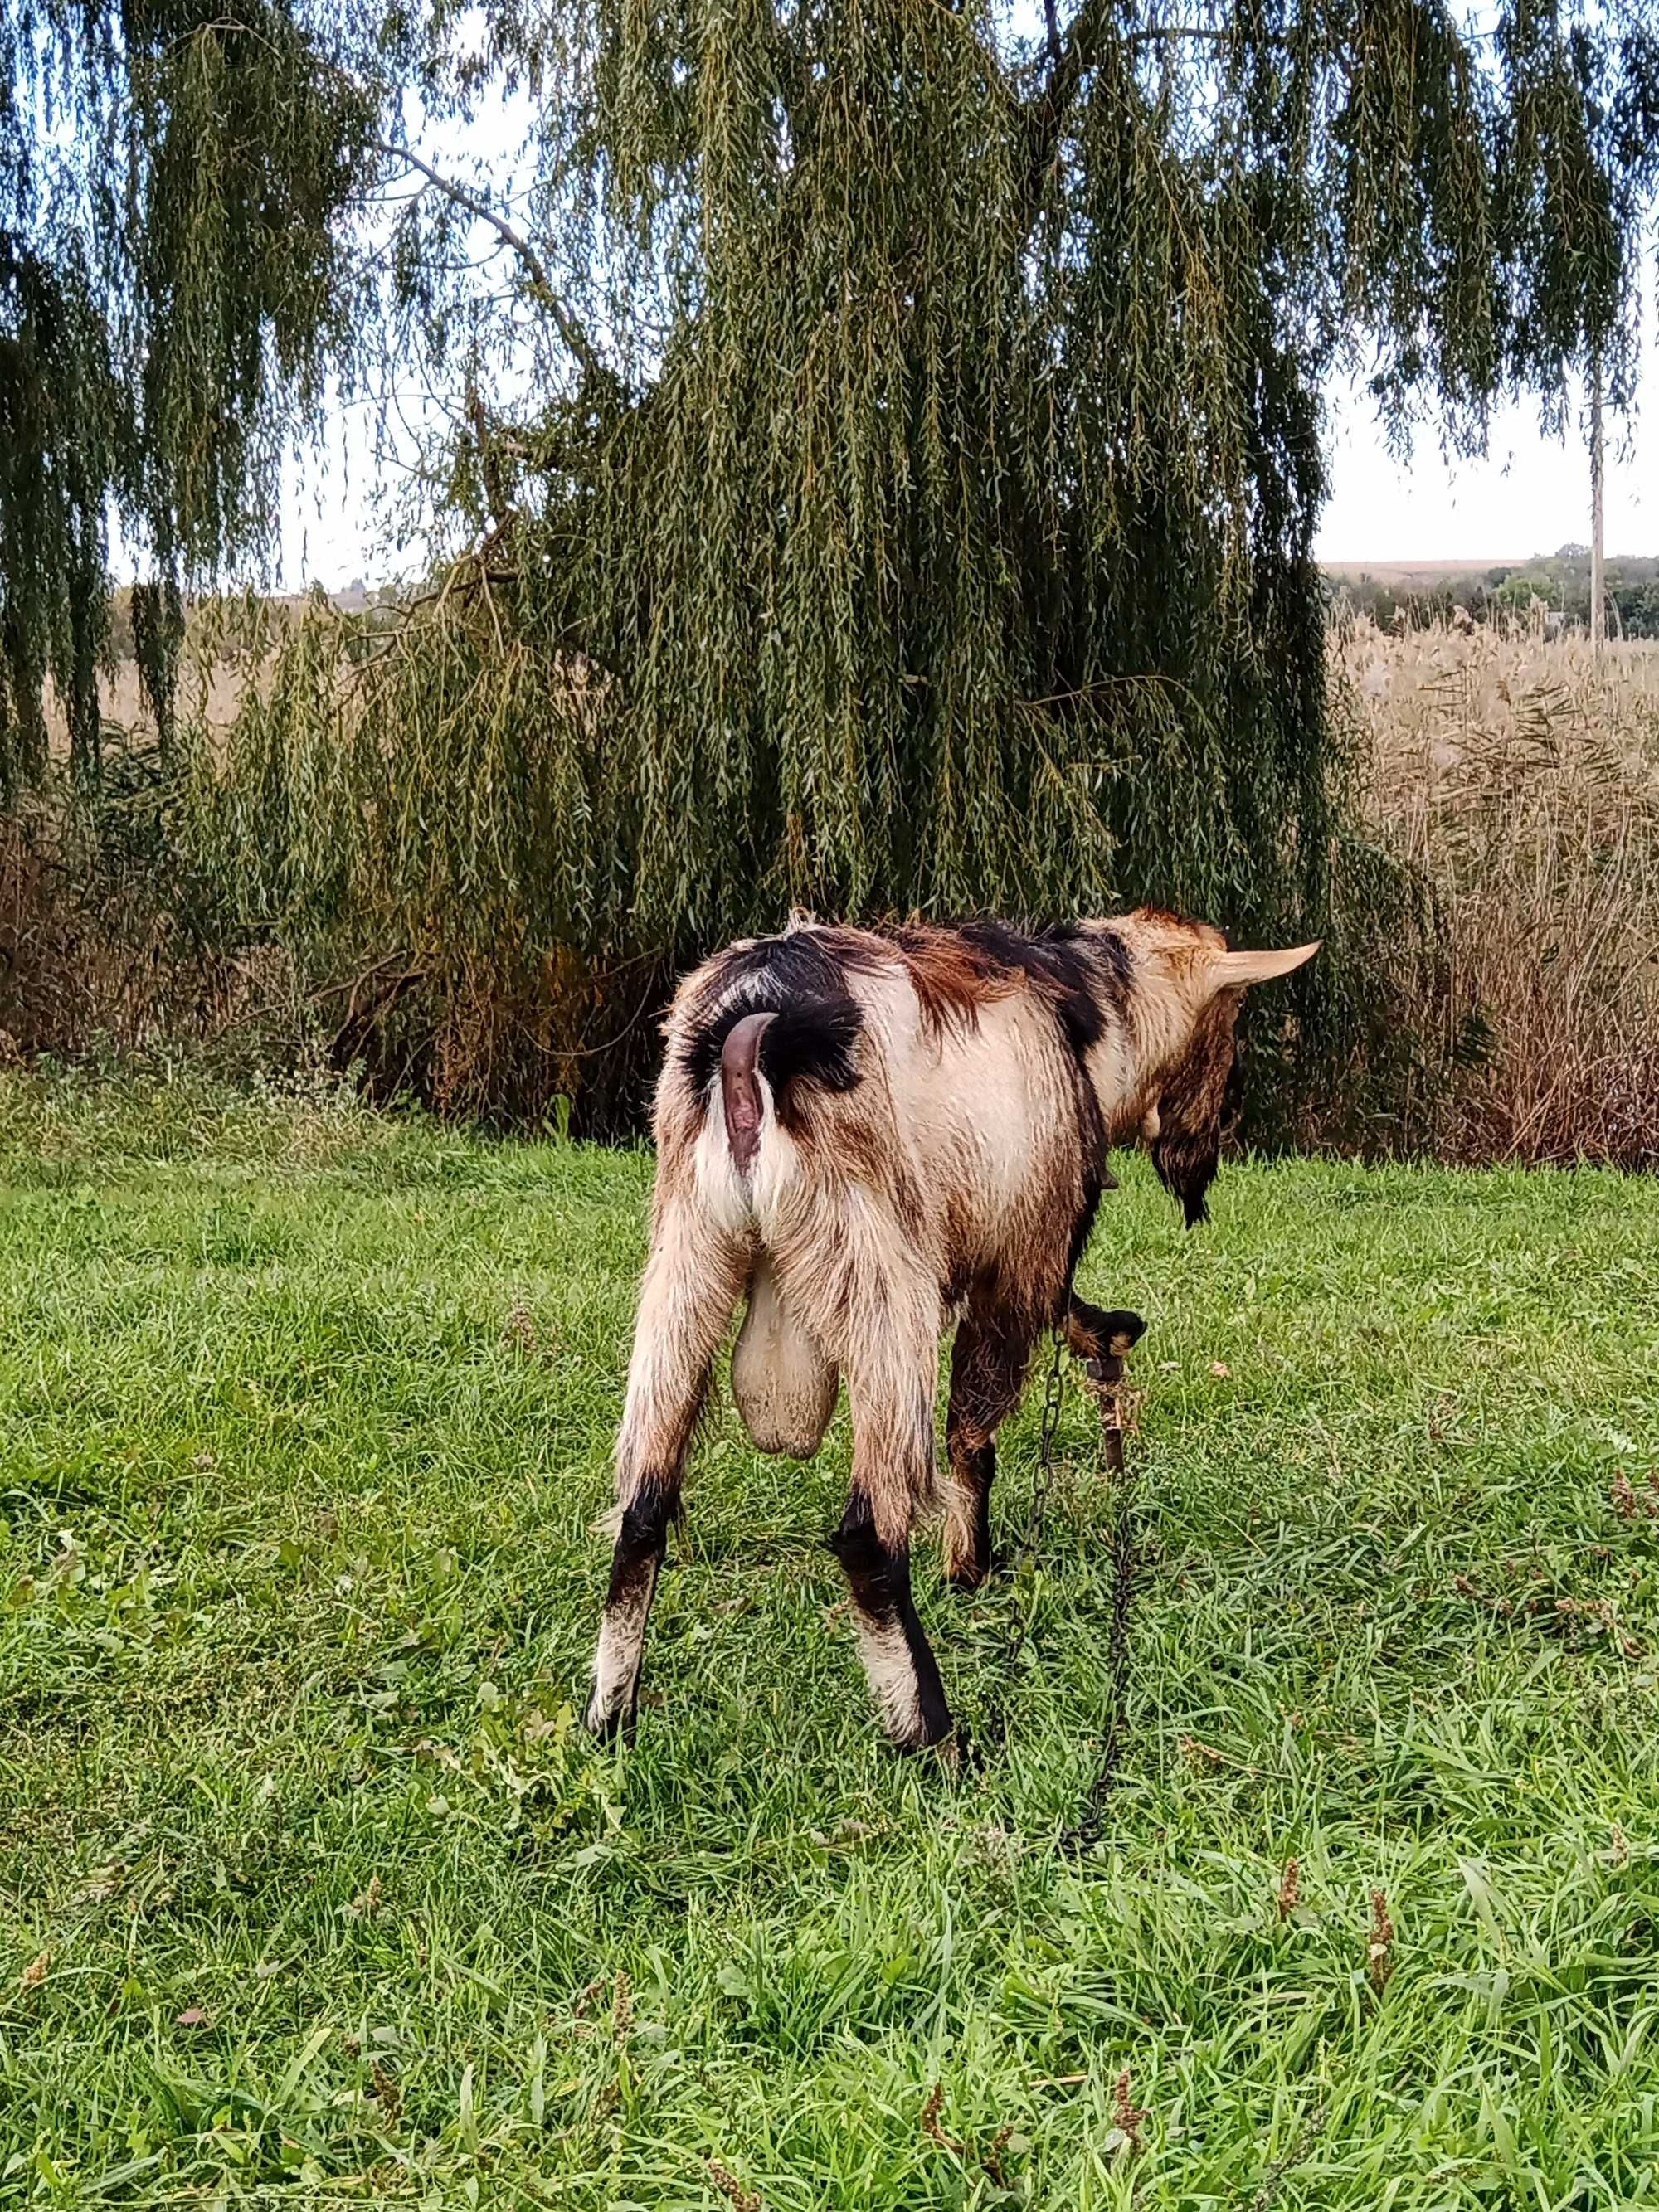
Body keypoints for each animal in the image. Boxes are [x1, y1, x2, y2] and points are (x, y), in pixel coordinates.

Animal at [592, 907, 1318, 1752]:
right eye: (1228, 1022)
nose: (1214, 1145)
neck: (1091, 1015)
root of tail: (749, 1036)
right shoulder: (1021, 1258)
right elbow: (976, 1433)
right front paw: (969, 1569)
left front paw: (1110, 1334)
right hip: (879, 1277)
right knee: (869, 1533)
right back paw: (934, 1735)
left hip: (685, 1260)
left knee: (643, 1508)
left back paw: (611, 1717)